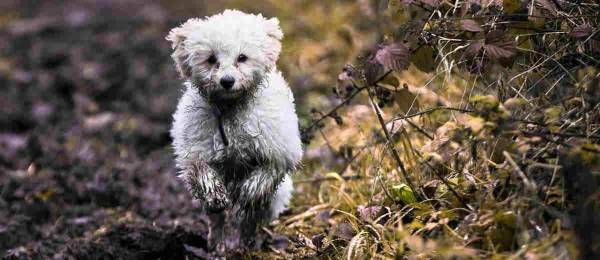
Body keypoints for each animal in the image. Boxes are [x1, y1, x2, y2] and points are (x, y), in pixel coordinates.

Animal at [166, 9, 302, 248]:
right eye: (211, 59)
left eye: (242, 57)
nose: (227, 81)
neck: (230, 109)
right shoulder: (196, 150)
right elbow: (202, 170)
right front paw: (215, 193)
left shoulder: (279, 149)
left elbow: (266, 172)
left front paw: (248, 191)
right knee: (217, 221)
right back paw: (217, 245)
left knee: (253, 218)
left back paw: (247, 241)